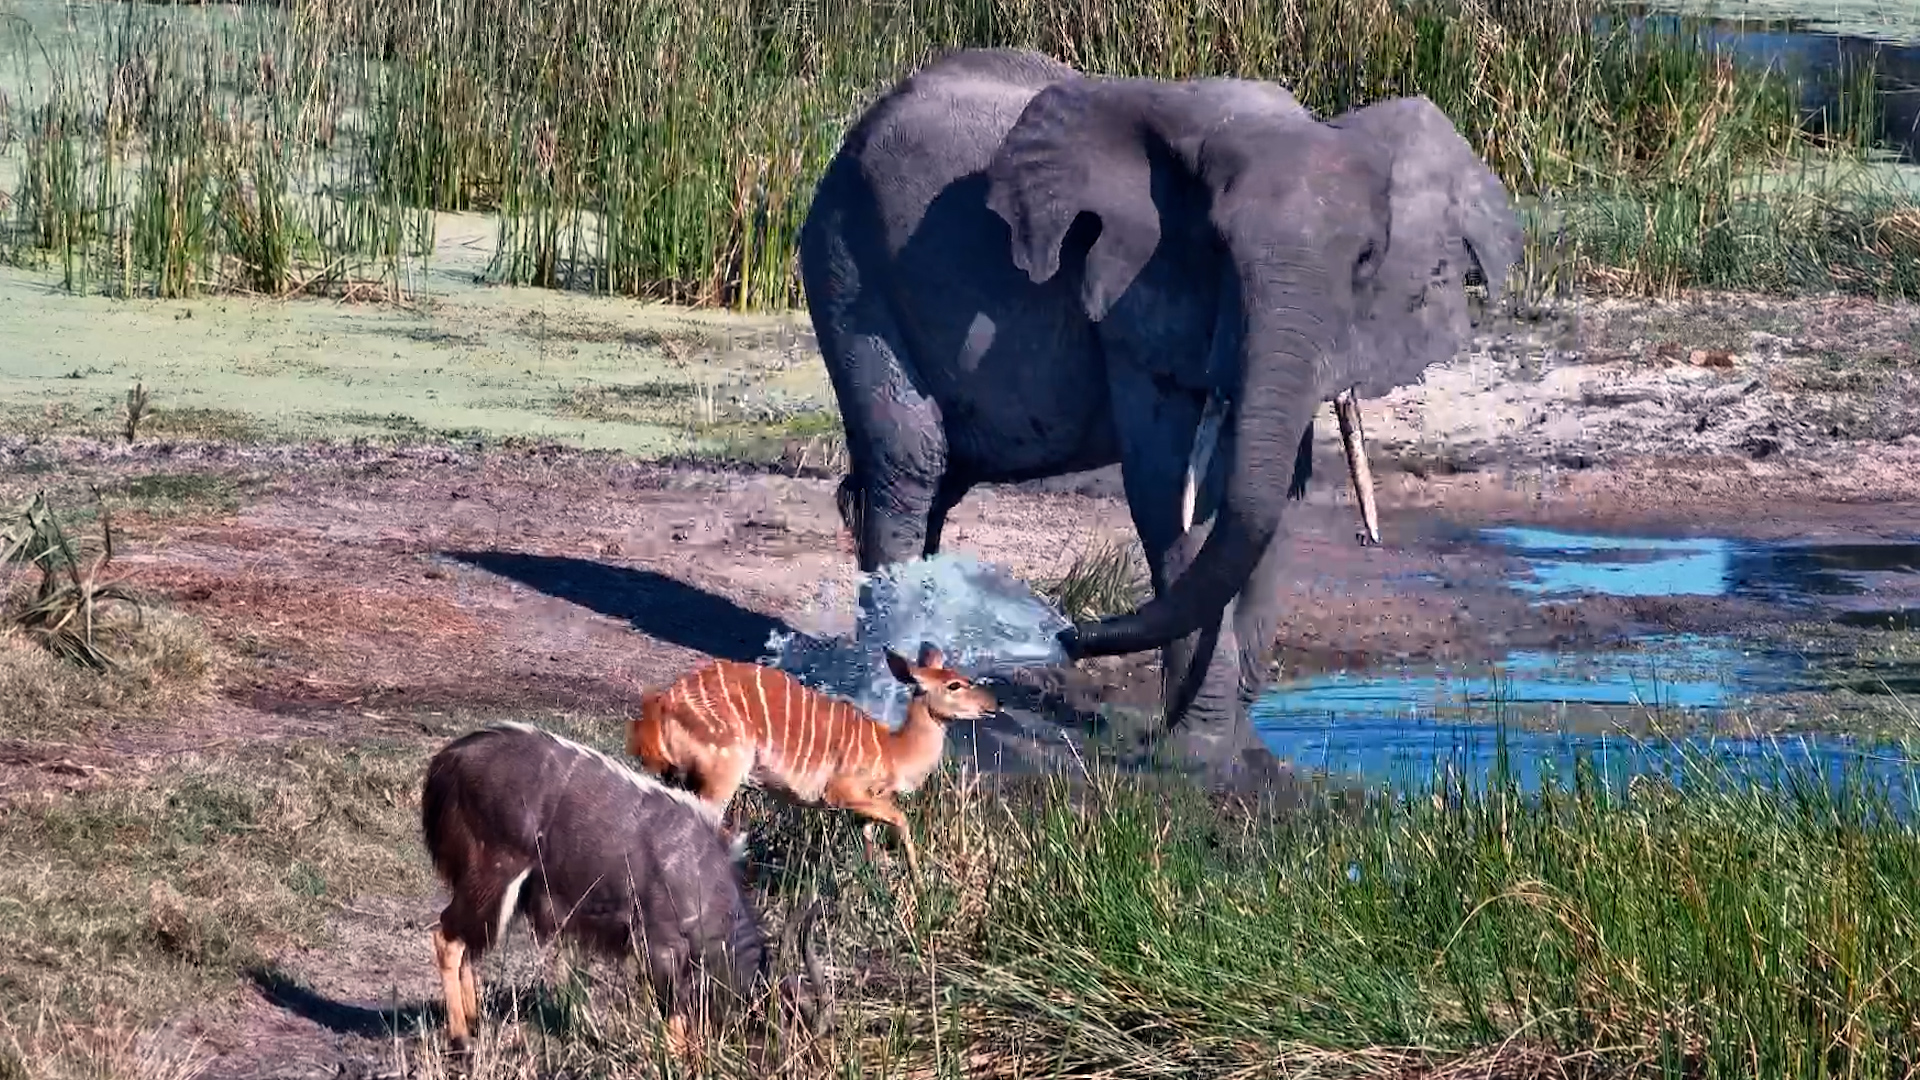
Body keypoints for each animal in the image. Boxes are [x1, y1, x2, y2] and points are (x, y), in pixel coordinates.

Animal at [796, 47, 1524, 777]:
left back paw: (930, 669)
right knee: (909, 468)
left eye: (1366, 261)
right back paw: (891, 693)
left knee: (935, 485)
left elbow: (1270, 503)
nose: (1068, 633)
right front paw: (1205, 761)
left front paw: (1246, 760)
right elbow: (1170, 490)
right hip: (846, 261)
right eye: (1218, 251)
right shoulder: (1132, 294)